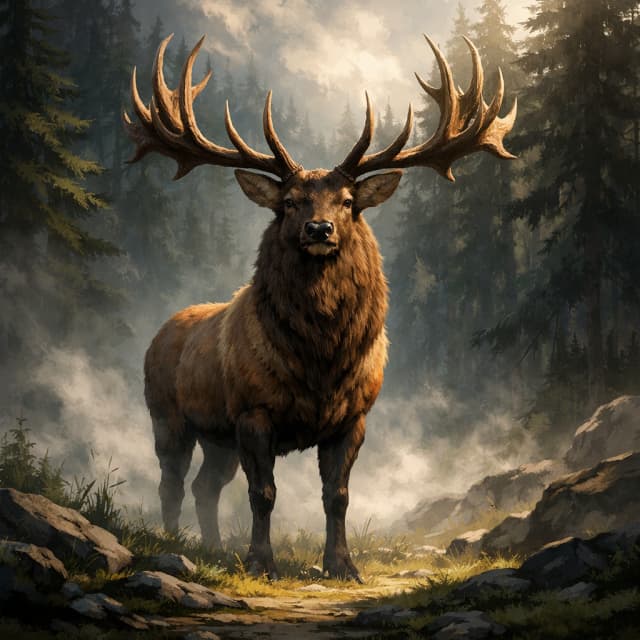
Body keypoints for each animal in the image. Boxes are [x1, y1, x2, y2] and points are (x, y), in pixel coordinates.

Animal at [124, 32, 516, 582]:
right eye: (289, 202)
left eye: (348, 201)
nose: (319, 229)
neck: (320, 360)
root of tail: (161, 331)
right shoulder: (253, 411)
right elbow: (263, 493)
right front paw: (260, 562)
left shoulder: (353, 418)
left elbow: (338, 495)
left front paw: (342, 566)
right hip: (168, 414)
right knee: (172, 482)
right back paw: (175, 541)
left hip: (218, 438)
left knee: (205, 486)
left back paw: (215, 548)